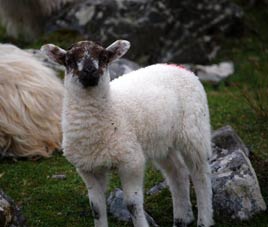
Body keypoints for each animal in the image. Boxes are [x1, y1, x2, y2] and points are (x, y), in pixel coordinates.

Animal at [41, 40, 214, 227]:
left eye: (104, 57)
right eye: (69, 60)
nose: (90, 71)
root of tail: (178, 67)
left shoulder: (131, 162)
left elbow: (132, 205)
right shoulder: (88, 169)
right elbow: (96, 208)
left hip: (194, 130)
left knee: (201, 175)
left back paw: (204, 219)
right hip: (161, 141)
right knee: (178, 172)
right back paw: (182, 218)